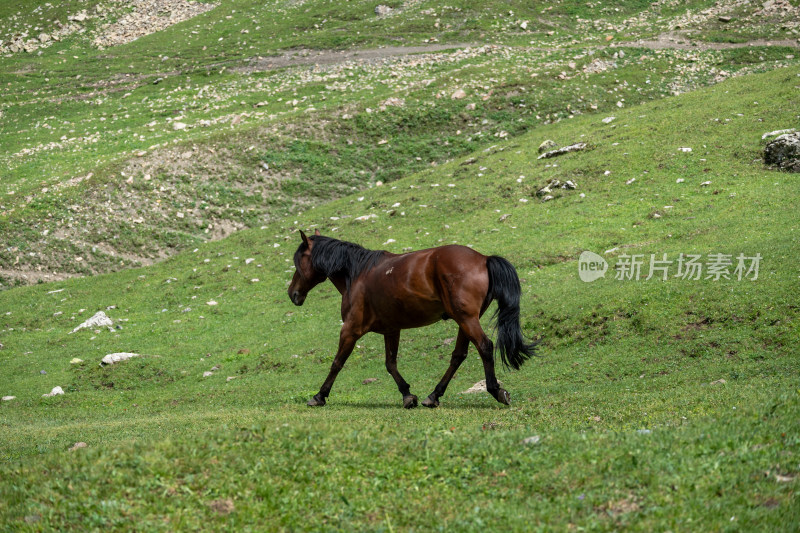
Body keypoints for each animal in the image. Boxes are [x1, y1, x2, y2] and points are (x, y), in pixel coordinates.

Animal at [290, 229, 536, 408]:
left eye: (298, 261)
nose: (293, 294)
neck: (358, 274)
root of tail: (484, 259)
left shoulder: (350, 329)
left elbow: (337, 363)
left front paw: (319, 396)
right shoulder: (391, 329)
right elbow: (390, 364)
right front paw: (408, 395)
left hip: (467, 320)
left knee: (484, 346)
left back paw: (496, 391)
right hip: (464, 321)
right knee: (458, 355)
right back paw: (434, 396)